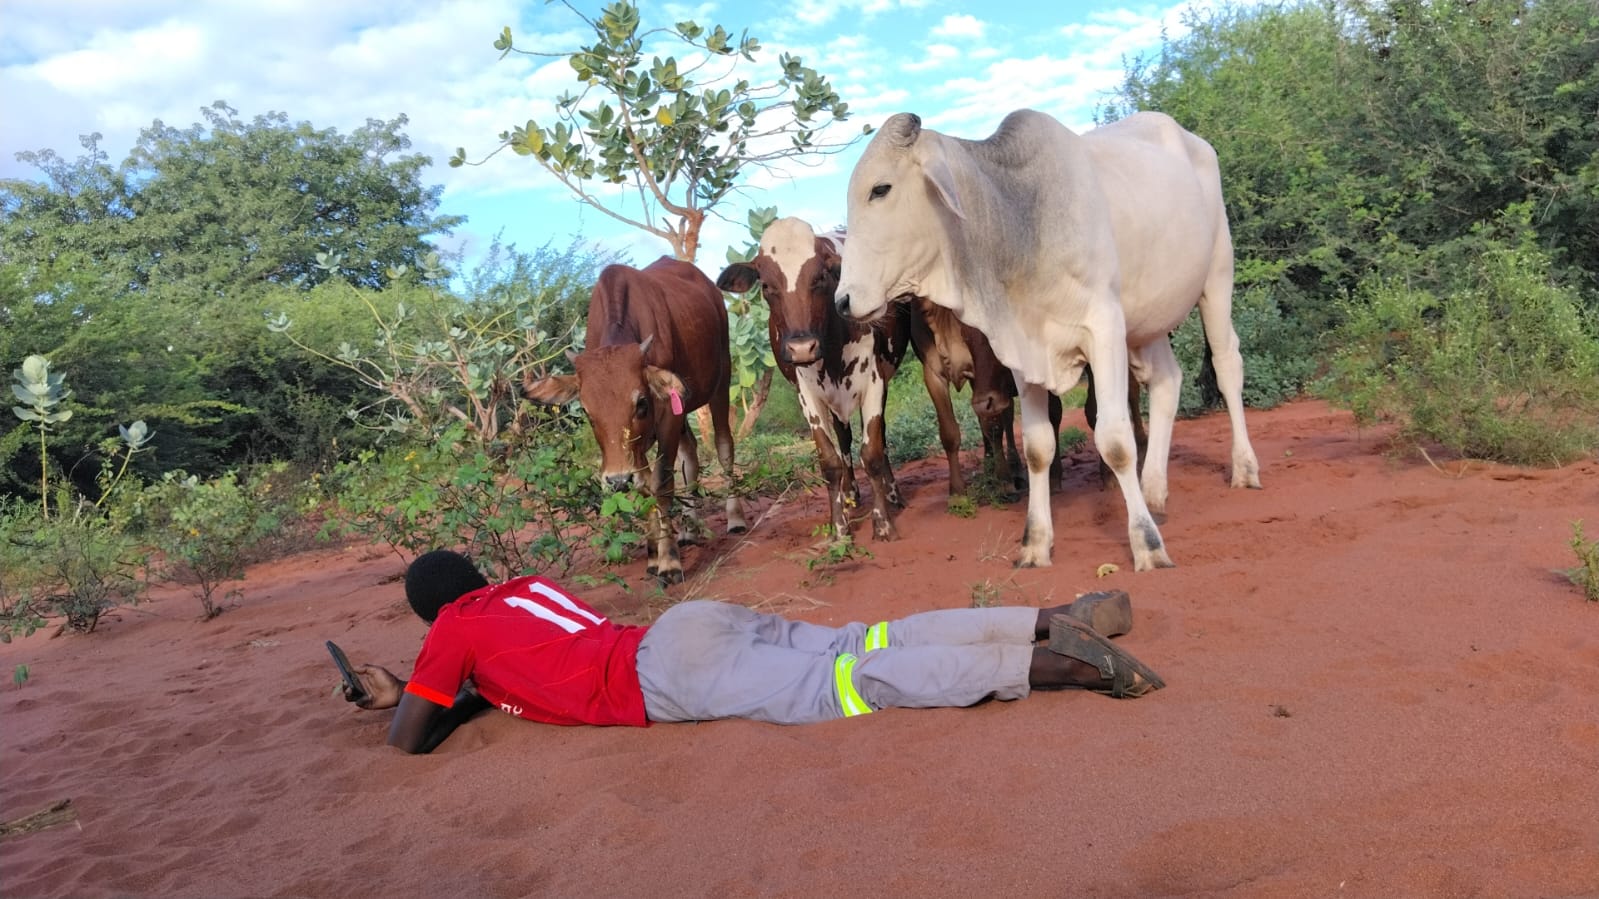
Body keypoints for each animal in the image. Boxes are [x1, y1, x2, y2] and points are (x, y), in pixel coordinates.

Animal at [524, 256, 747, 584]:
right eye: (587, 411)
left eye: (641, 403)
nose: (616, 480)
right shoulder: (634, 446)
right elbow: (643, 486)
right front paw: (654, 555)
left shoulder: (667, 415)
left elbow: (661, 482)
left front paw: (669, 562)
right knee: (690, 456)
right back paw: (690, 529)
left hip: (721, 381)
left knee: (723, 446)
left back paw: (735, 517)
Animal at [716, 217, 912, 542]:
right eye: (766, 286)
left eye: (820, 278)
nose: (801, 348)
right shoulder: (807, 394)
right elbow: (830, 461)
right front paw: (839, 528)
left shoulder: (874, 381)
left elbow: (871, 452)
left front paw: (883, 523)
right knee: (844, 438)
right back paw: (850, 493)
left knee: (876, 437)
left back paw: (891, 492)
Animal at [835, 110, 1262, 571]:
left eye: (881, 189)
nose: (842, 301)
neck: (1017, 222)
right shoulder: (1024, 353)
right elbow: (1039, 447)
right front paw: (1035, 544)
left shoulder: (1104, 329)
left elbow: (1116, 441)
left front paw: (1146, 544)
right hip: (1148, 320)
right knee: (1167, 381)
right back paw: (1154, 492)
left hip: (1216, 276)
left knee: (1227, 364)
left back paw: (1243, 469)